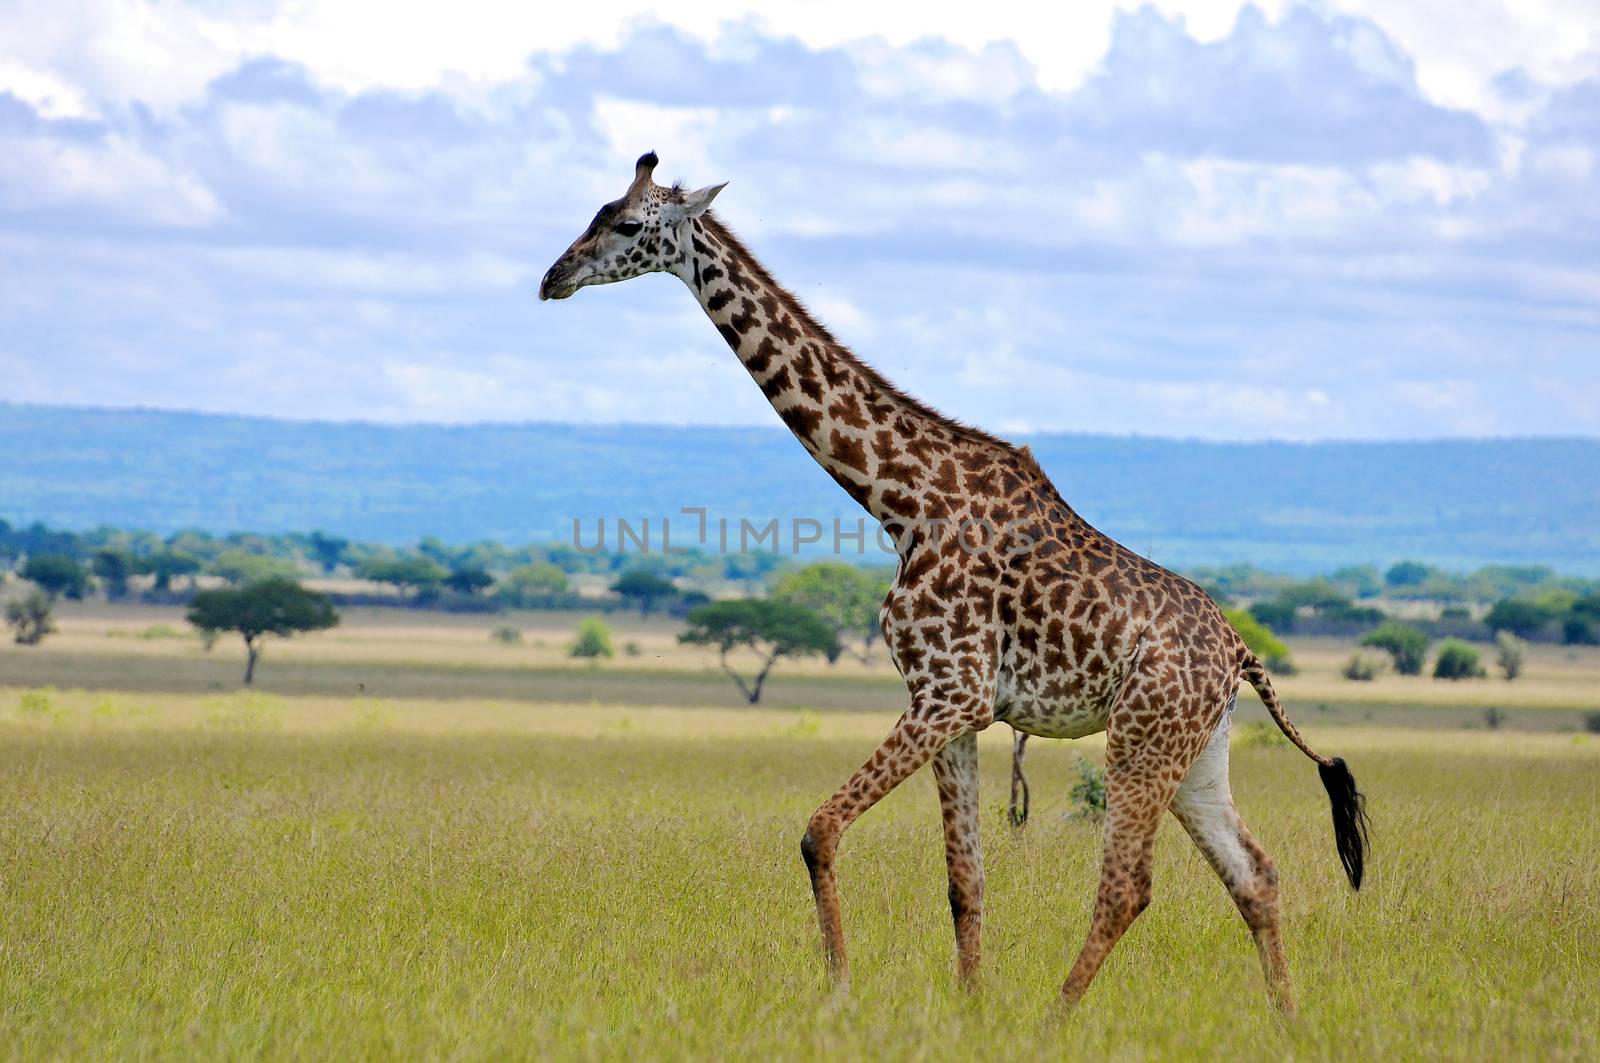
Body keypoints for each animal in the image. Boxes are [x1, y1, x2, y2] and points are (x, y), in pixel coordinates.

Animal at [537, 153, 1363, 1011]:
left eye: (628, 224)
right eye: (597, 210)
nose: (552, 278)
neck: (901, 501)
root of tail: (1240, 651)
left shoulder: (950, 690)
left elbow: (820, 830)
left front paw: (840, 992)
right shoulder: (956, 708)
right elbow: (965, 881)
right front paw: (970, 1008)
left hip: (1142, 735)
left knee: (1128, 886)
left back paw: (1054, 1020)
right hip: (1197, 748)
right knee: (1255, 874)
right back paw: (1287, 1019)